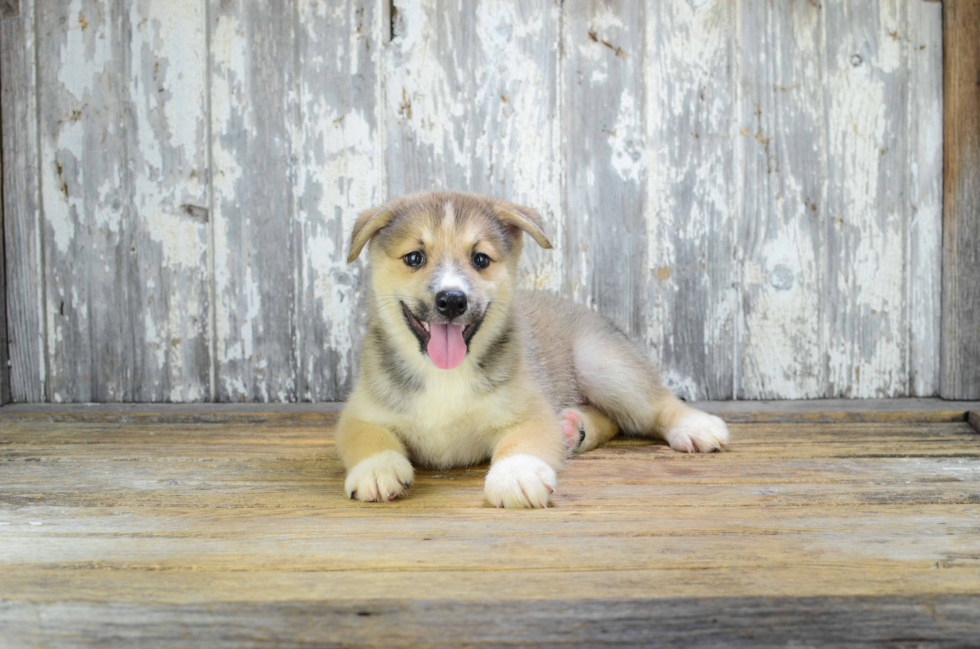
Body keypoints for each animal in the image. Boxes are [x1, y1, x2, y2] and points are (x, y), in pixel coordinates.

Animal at [336, 192, 728, 506]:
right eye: (415, 258)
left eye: (480, 260)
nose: (452, 300)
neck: (443, 375)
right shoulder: (361, 413)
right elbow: (369, 438)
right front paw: (377, 468)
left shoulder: (529, 413)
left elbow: (522, 443)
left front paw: (516, 475)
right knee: (614, 420)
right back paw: (573, 429)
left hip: (601, 363)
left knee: (654, 404)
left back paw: (695, 426)